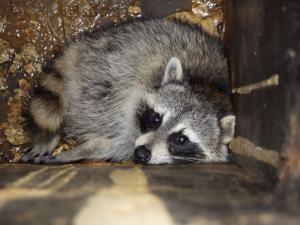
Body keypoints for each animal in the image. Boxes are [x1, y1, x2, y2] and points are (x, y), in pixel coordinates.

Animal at [22, 19, 236, 164]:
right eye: (156, 119)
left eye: (181, 140)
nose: (142, 153)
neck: (208, 89)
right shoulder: (135, 97)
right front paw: (77, 151)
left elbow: (111, 147)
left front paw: (81, 151)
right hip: (105, 66)